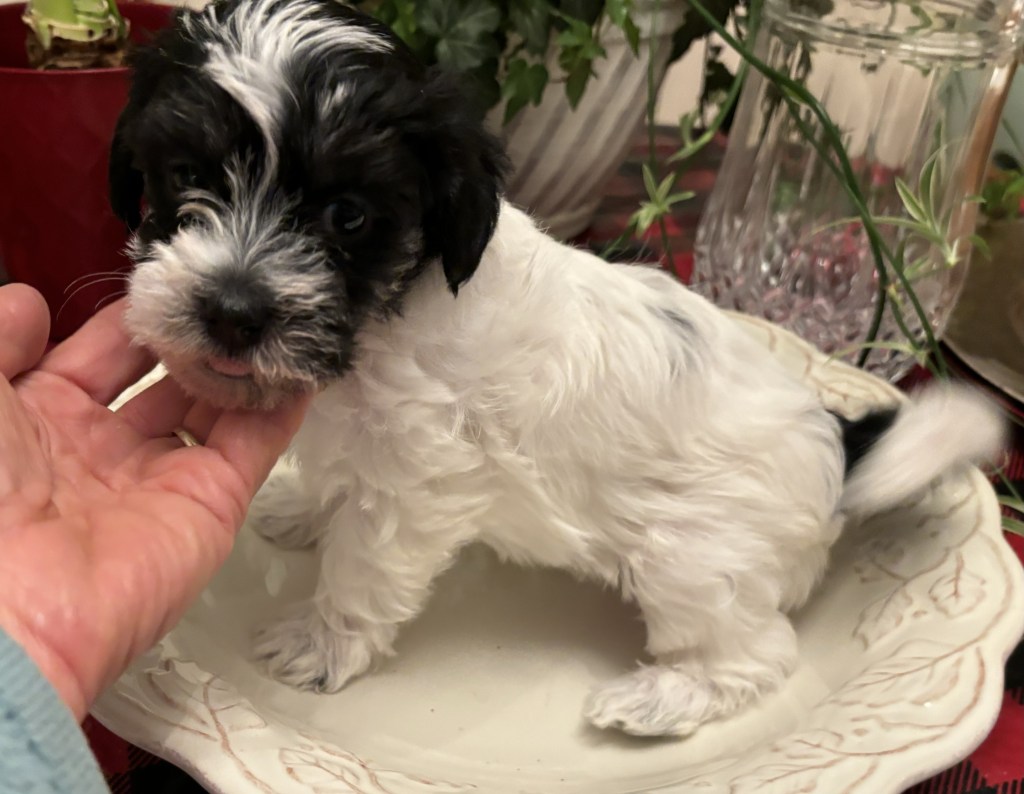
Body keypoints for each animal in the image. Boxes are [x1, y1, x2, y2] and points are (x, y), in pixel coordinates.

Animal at [109, 0, 1006, 737]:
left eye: (348, 215)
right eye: (187, 174)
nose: (232, 310)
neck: (390, 311)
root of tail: (836, 439)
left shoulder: (418, 482)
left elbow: (364, 563)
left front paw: (321, 644)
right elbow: (335, 488)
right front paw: (300, 509)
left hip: (694, 558)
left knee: (756, 654)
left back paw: (657, 701)